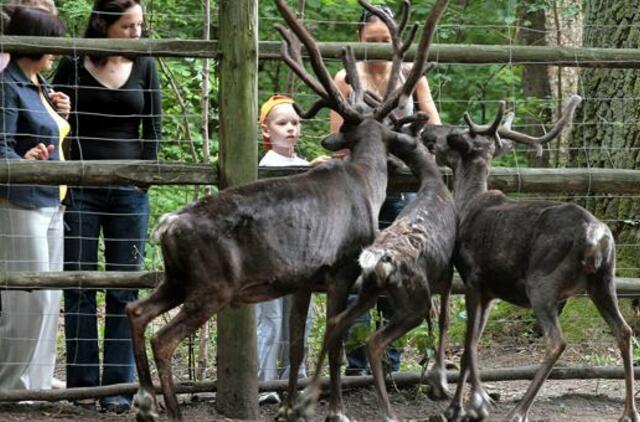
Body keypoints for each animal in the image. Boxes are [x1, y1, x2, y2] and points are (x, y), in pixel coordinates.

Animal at [126, 0, 450, 418]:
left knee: (136, 311)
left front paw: (289, 407)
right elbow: (335, 338)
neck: (366, 183)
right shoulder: (341, 267)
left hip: (177, 279)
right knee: (163, 338)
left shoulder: (303, 279)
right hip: (211, 286)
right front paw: (334, 409)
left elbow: (296, 344)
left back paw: (146, 401)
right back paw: (172, 411)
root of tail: (165, 226)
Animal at [420, 96, 640, 422]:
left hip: (542, 283)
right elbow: (473, 344)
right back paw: (629, 411)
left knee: (556, 341)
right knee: (624, 331)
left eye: (454, 134)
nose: (427, 129)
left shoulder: (473, 278)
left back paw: (519, 411)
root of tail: (597, 237)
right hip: (604, 281)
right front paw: (467, 402)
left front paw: (461, 406)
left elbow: (468, 344)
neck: (466, 205)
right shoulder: (491, 293)